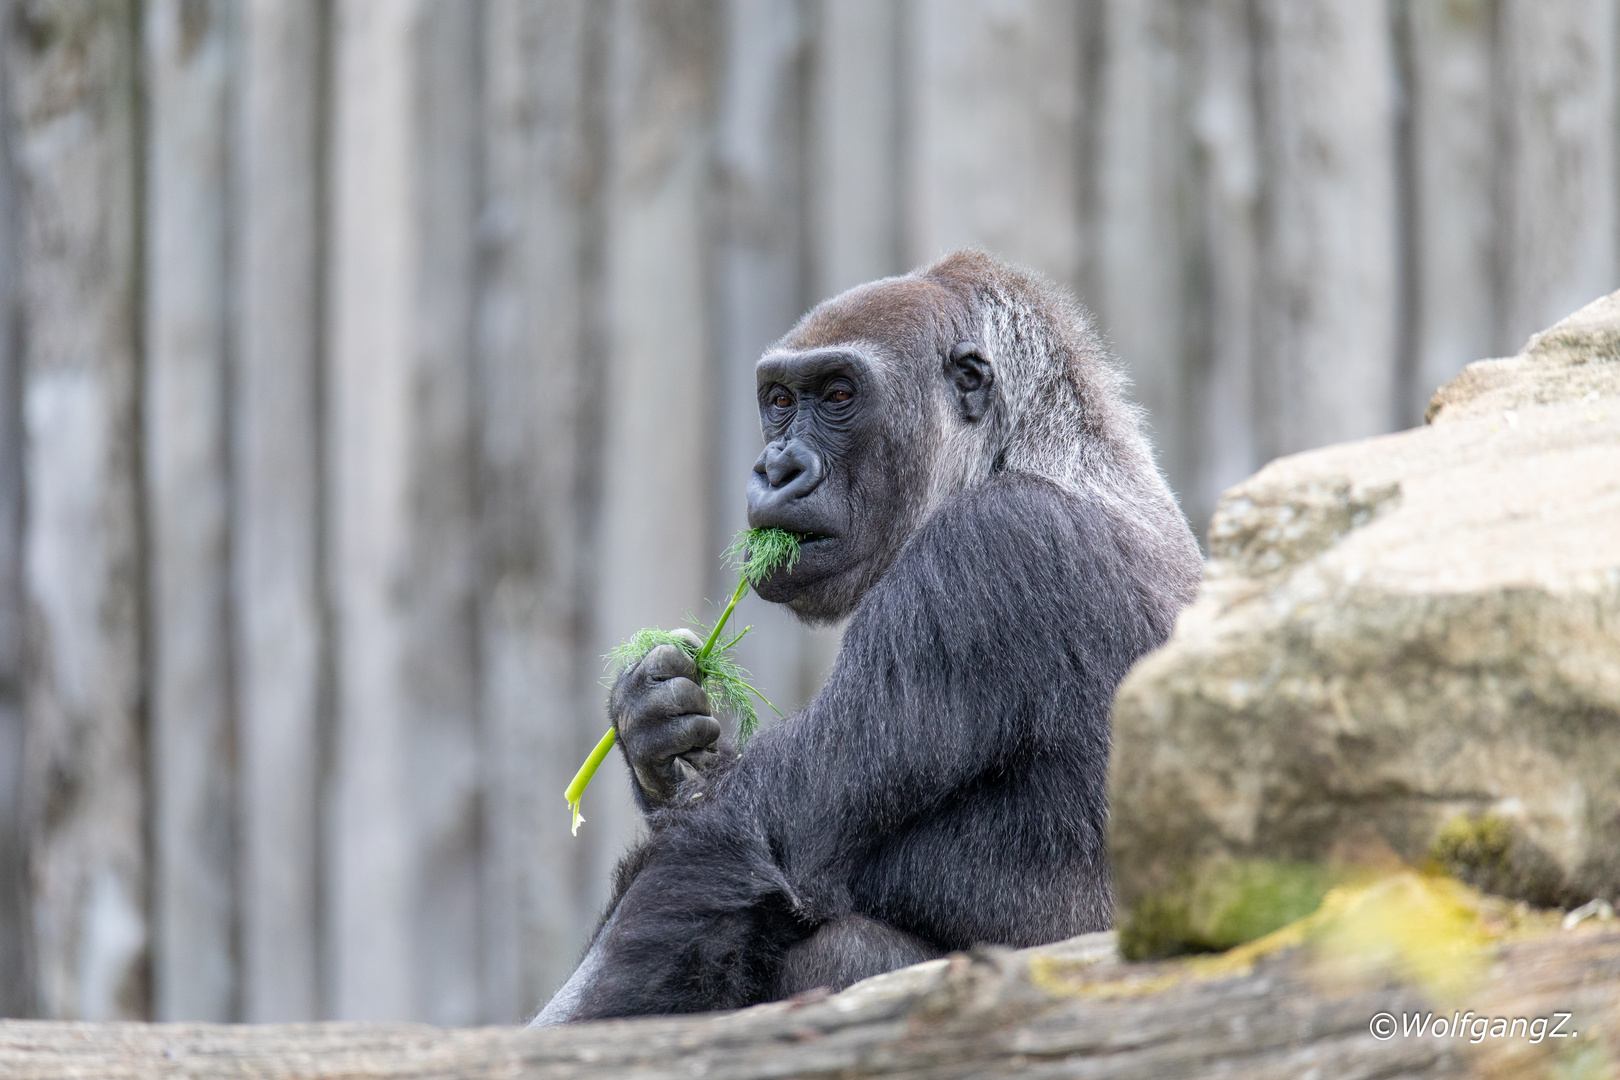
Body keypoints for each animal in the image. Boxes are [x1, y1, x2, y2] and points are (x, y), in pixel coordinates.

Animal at [534, 249, 1205, 1029]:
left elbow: (737, 842)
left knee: (840, 950)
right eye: (780, 401)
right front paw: (654, 723)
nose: (776, 468)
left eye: (838, 394)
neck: (1029, 447)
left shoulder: (983, 554)